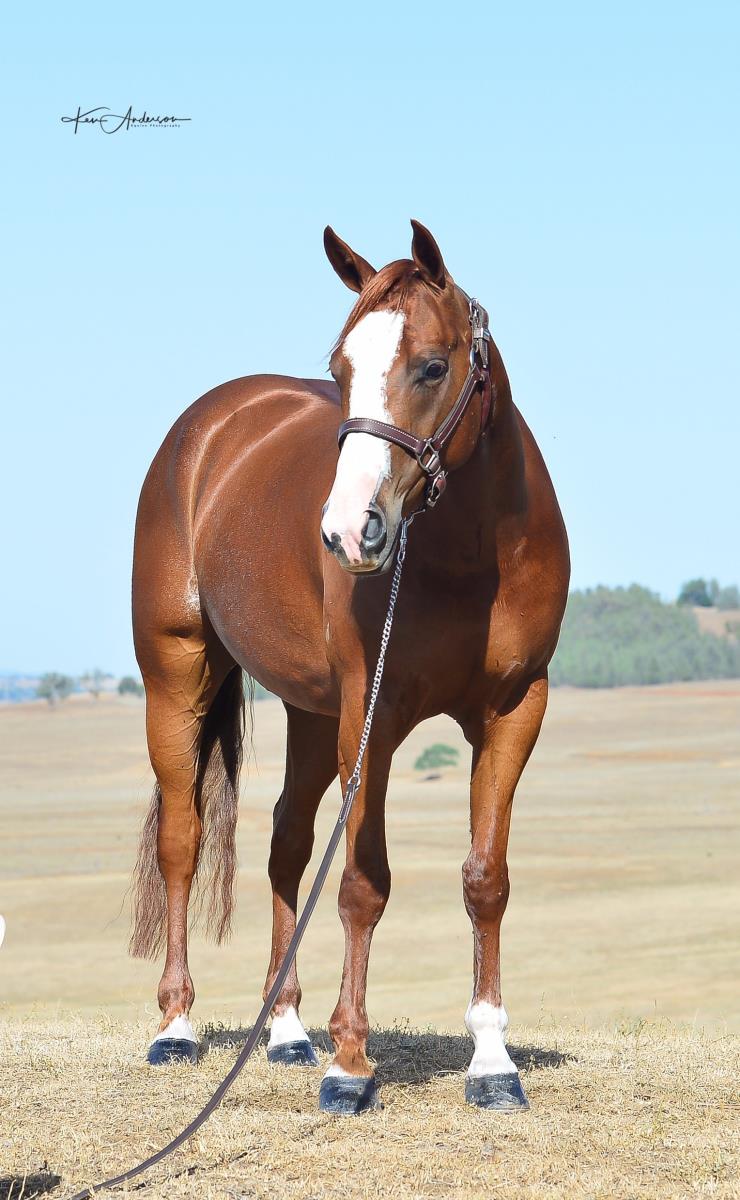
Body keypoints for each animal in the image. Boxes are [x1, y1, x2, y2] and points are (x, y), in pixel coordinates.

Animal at [130, 220, 570, 1114]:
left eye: (431, 366)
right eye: (339, 370)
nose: (346, 531)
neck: (473, 554)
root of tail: (209, 426)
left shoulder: (514, 710)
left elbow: (486, 878)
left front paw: (491, 1061)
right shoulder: (377, 712)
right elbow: (364, 883)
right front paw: (351, 1064)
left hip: (311, 711)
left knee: (287, 845)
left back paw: (287, 1030)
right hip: (176, 674)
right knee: (184, 842)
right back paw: (177, 1026)